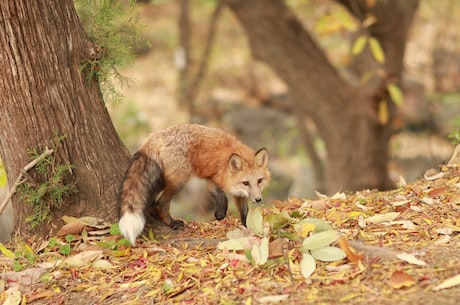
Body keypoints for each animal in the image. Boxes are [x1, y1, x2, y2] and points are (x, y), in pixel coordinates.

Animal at [117, 122, 272, 243]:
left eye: (259, 181)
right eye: (246, 183)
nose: (258, 199)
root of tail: (154, 136)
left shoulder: (240, 194)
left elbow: (245, 212)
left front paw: (248, 227)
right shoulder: (212, 180)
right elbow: (222, 197)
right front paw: (220, 214)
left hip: (160, 181)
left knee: (152, 202)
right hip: (179, 181)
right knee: (160, 203)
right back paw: (173, 223)